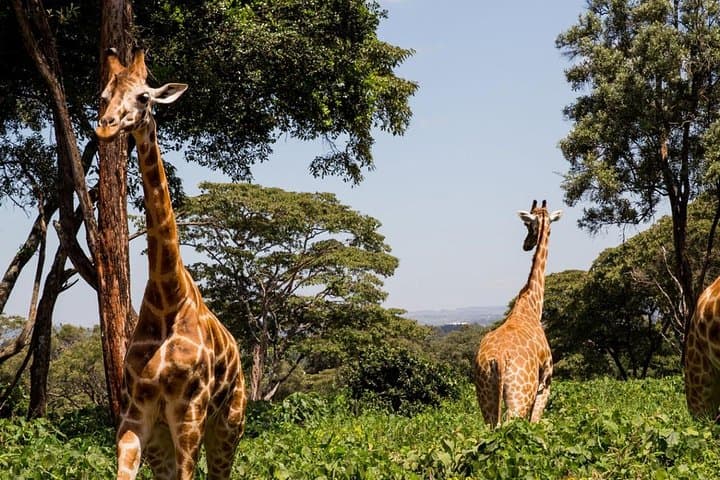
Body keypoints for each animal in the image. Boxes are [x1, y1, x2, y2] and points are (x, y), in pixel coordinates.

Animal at [95, 48, 246, 480]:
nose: (106, 128)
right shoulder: (136, 416)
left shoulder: (189, 413)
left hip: (228, 424)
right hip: (164, 437)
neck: (167, 297)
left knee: (220, 470)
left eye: (144, 97)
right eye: (103, 96)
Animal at [474, 200, 562, 427]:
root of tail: (497, 359)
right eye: (527, 225)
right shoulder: (546, 380)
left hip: (485, 394)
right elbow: (535, 422)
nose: (526, 245)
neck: (531, 305)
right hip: (521, 396)